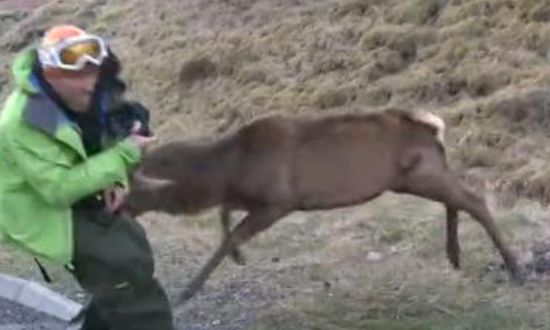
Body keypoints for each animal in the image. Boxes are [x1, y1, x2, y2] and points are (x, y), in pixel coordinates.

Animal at [126, 108, 528, 302]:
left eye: (132, 187)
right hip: (416, 177)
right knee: (456, 199)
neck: (227, 171)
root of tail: (434, 127)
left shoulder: (280, 200)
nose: (116, 209)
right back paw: (455, 254)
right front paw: (238, 257)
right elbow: (226, 220)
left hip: (419, 175)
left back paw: (515, 269)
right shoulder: (248, 199)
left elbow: (229, 234)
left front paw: (189, 290)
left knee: (474, 198)